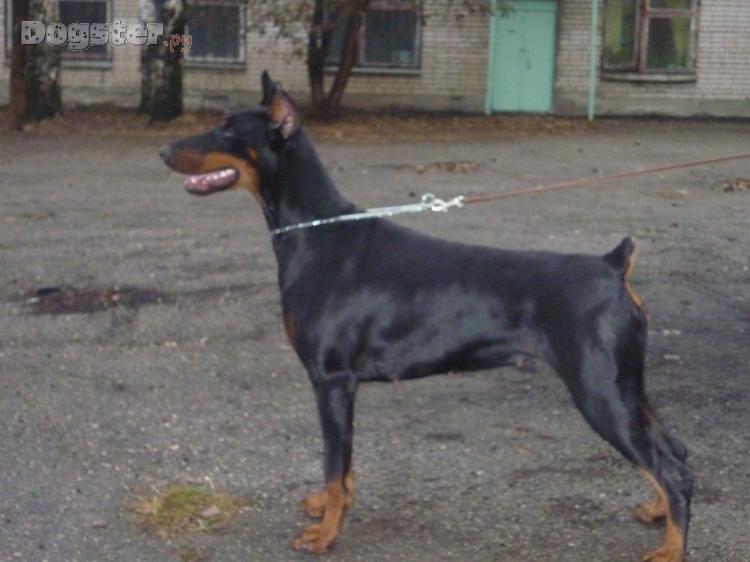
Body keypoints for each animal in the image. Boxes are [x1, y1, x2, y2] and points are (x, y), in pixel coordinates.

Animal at [160, 71, 693, 561]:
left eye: (228, 130)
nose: (164, 151)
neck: (314, 231)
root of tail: (614, 265)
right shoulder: (342, 387)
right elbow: (343, 467)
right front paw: (332, 507)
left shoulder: (331, 380)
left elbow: (333, 465)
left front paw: (325, 533)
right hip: (625, 384)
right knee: (676, 452)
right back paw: (657, 512)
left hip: (599, 389)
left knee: (667, 467)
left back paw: (670, 548)